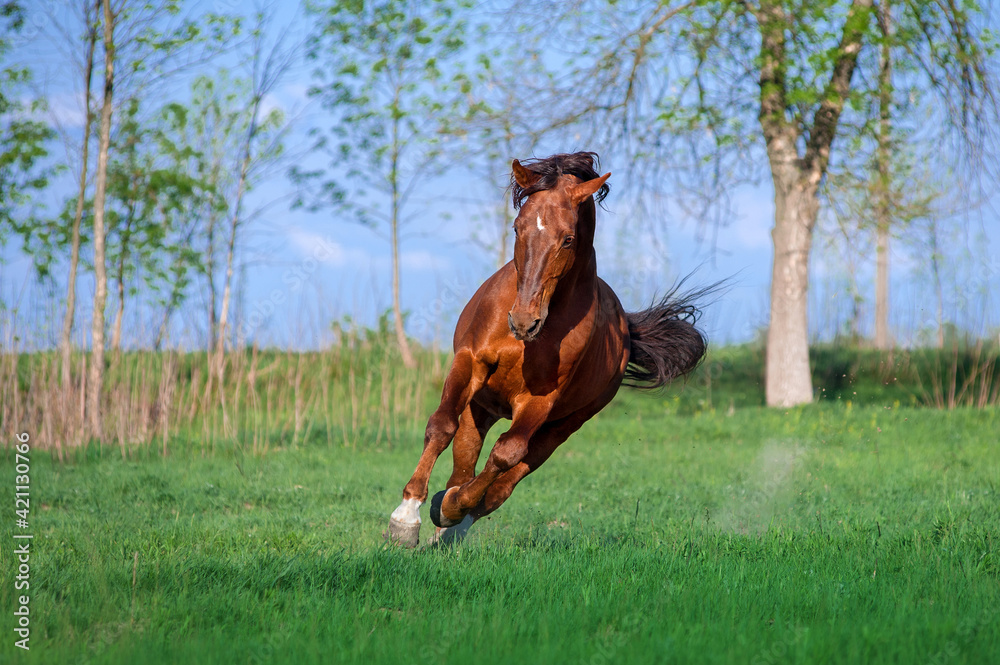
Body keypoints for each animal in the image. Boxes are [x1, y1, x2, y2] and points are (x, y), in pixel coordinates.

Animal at [386, 153, 708, 548]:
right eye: (517, 228)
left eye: (568, 239)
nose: (524, 320)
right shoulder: (470, 362)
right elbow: (441, 425)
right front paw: (405, 517)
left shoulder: (540, 401)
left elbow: (506, 454)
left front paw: (445, 510)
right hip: (481, 407)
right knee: (464, 461)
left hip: (560, 428)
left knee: (501, 483)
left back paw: (452, 516)